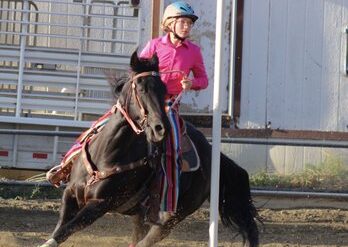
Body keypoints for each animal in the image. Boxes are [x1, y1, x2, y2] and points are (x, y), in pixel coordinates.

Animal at [39, 51, 260, 246]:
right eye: (141, 88)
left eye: (163, 89)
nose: (160, 128)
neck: (105, 155)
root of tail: (213, 155)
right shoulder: (70, 194)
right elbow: (59, 229)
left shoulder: (100, 203)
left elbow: (66, 230)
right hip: (141, 215)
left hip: (169, 219)